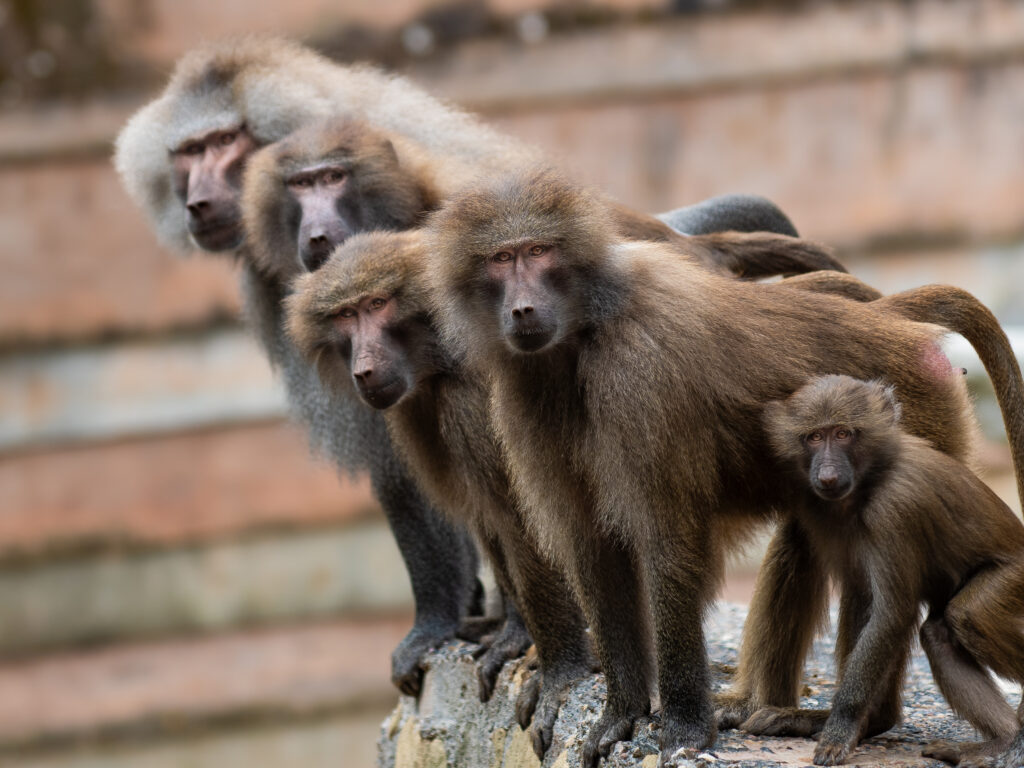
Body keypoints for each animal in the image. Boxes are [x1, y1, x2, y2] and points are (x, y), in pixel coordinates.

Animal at [760, 375, 1024, 767]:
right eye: (814, 437)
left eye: (843, 434)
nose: (827, 475)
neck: (872, 476)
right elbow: (865, 599)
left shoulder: (895, 510)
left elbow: (890, 615)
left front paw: (840, 729)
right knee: (939, 635)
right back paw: (1002, 742)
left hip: (1013, 582)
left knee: (968, 614)